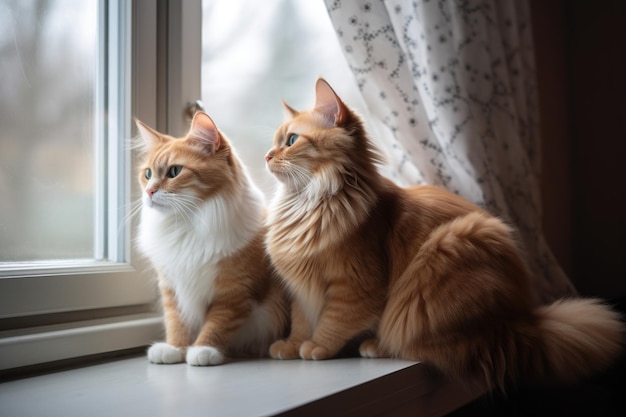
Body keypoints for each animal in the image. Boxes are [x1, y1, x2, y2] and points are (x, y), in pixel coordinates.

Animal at [136, 110, 288, 364]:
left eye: (174, 171)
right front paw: (174, 348)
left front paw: (203, 350)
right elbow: (177, 322)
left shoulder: (234, 292)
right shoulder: (172, 287)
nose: (149, 191)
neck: (188, 223)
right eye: (147, 174)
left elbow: (218, 324)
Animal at [264, 77, 624, 386]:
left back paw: (377, 345)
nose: (266, 156)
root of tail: (521, 319)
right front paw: (292, 344)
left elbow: (334, 321)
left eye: (291, 141)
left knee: (433, 345)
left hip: (446, 252)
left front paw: (316, 347)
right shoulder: (300, 286)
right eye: (275, 143)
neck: (308, 204)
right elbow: (301, 320)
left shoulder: (355, 285)